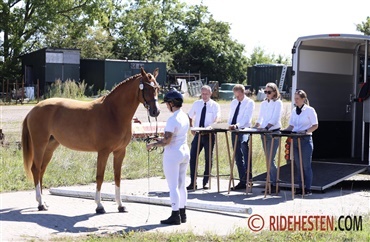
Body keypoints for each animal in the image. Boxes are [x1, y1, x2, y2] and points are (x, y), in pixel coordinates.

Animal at [22, 67, 160, 213]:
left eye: (157, 88)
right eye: (146, 88)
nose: (155, 112)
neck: (113, 112)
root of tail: (33, 109)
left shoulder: (120, 152)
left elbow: (117, 177)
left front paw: (120, 205)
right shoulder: (103, 152)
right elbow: (100, 176)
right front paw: (99, 206)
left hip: (50, 147)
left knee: (42, 170)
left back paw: (43, 202)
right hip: (39, 145)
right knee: (36, 169)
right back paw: (40, 203)